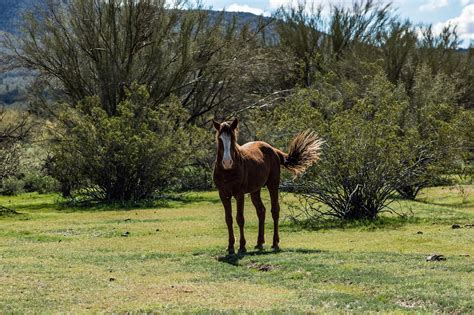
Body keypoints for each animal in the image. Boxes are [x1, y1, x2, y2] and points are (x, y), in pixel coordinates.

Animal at [213, 119, 324, 256]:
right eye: (220, 139)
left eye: (233, 138)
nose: (227, 162)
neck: (227, 172)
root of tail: (273, 150)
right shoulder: (223, 194)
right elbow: (228, 219)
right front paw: (230, 247)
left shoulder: (239, 194)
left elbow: (240, 218)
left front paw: (242, 246)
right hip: (255, 190)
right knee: (261, 211)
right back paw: (259, 242)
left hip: (273, 185)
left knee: (274, 210)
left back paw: (275, 243)